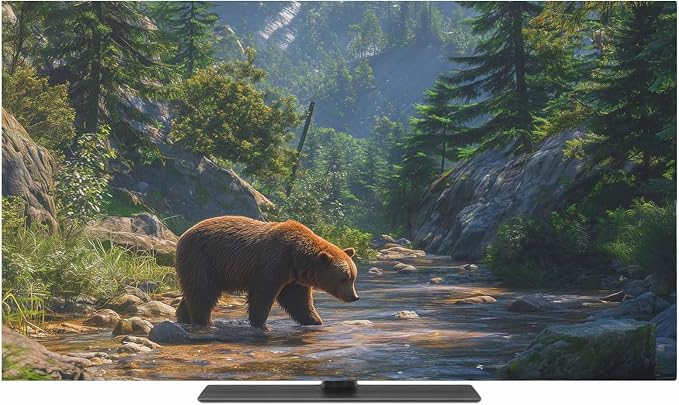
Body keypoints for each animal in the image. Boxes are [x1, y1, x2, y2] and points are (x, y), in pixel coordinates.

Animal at [174, 215, 359, 330]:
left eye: (353, 277)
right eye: (344, 278)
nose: (354, 297)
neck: (297, 258)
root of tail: (182, 235)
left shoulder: (293, 278)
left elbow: (298, 301)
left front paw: (315, 320)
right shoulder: (272, 264)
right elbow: (262, 295)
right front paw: (261, 324)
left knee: (193, 292)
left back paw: (183, 318)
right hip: (202, 258)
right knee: (203, 293)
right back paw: (204, 321)